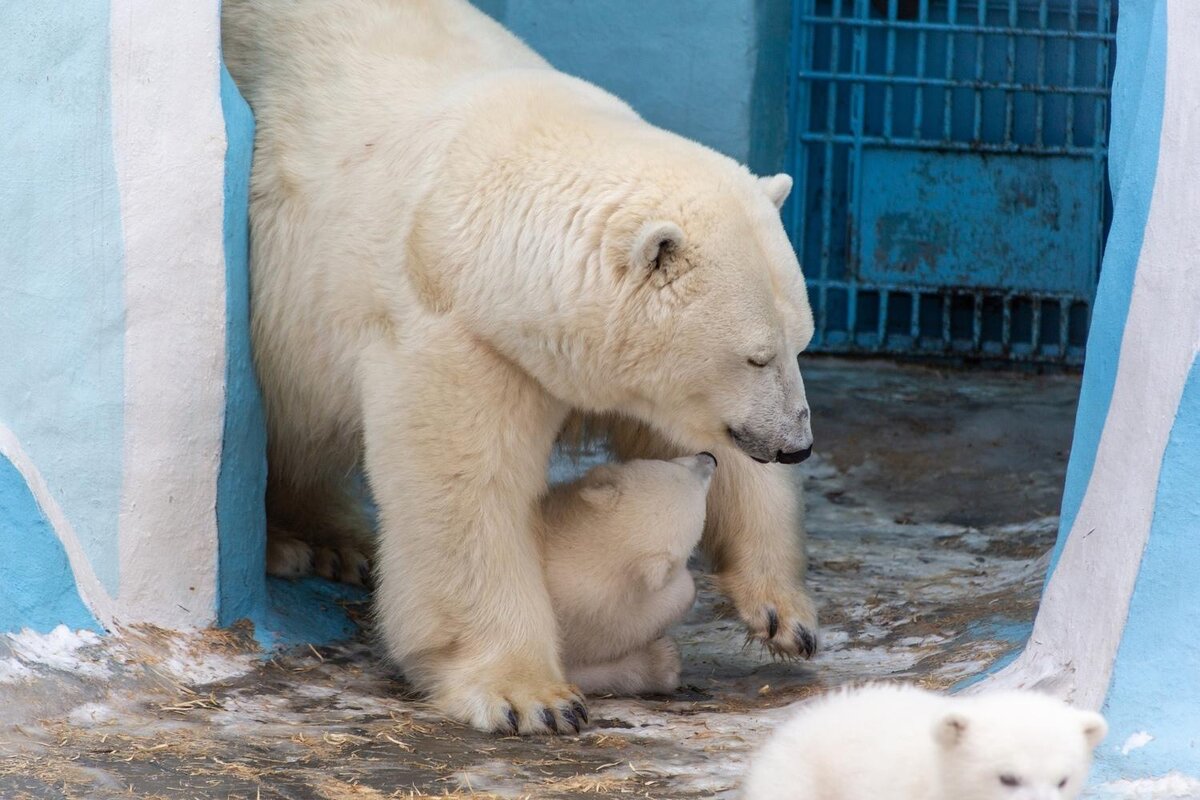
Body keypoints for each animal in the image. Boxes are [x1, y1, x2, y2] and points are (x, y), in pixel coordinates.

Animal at [223, 0, 816, 734]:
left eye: (800, 342)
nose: (796, 444)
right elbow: (466, 490)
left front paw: (783, 612)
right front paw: (531, 698)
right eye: (755, 355)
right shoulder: (460, 336)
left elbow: (690, 438)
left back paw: (339, 540)